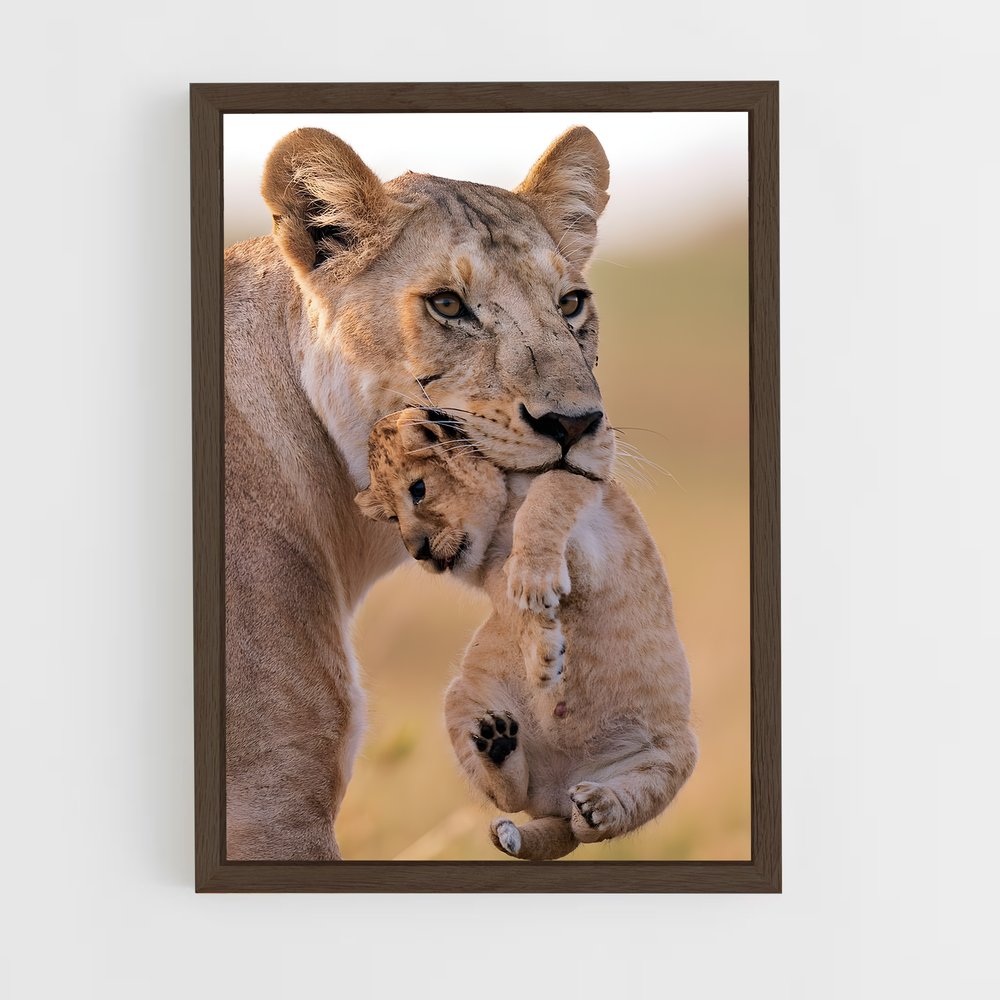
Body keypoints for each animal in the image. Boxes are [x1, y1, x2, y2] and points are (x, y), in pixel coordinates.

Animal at [355, 408, 697, 860]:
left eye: (418, 490)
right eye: (392, 518)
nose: (418, 552)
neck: (498, 527)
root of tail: (557, 797)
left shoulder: (585, 499)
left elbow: (547, 497)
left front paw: (536, 585)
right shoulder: (494, 579)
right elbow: (515, 608)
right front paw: (544, 654)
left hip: (673, 756)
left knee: (603, 820)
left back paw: (598, 807)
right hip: (459, 698)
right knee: (513, 798)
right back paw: (498, 746)